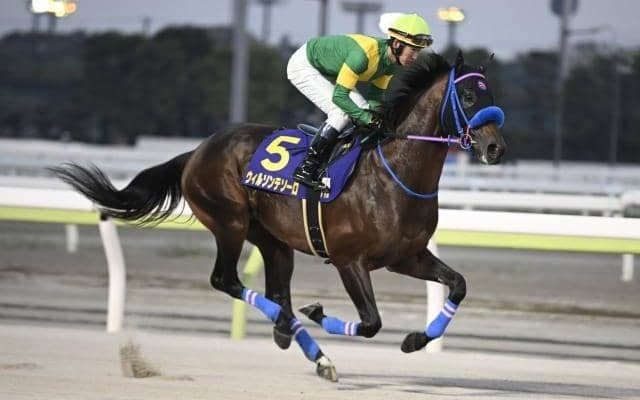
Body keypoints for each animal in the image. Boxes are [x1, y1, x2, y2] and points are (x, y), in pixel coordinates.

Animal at [51, 51, 506, 382]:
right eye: (468, 98)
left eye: (491, 96)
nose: (495, 148)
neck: (393, 173)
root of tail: (197, 151)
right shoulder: (349, 260)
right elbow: (371, 322)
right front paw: (318, 312)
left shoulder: (406, 257)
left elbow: (459, 285)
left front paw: (414, 340)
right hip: (229, 222)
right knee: (226, 281)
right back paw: (292, 326)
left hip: (272, 240)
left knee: (276, 291)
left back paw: (305, 346)